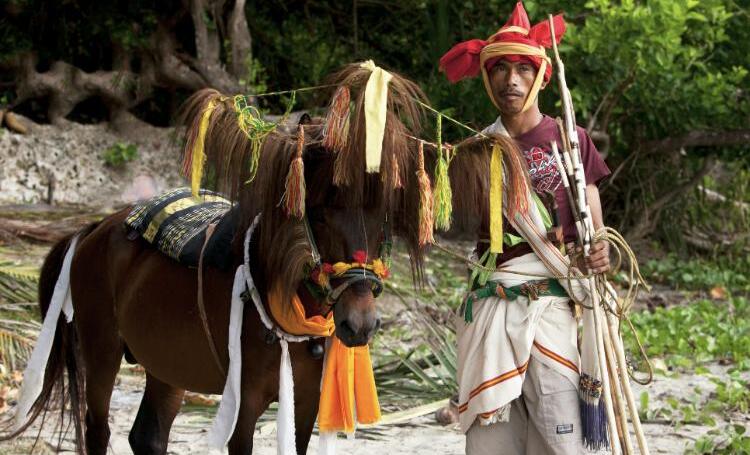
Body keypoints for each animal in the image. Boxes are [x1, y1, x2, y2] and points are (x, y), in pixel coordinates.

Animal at [3, 63, 431, 454]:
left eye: (384, 220)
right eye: (320, 214)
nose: (360, 324)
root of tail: (93, 230)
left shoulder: (308, 403)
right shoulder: (245, 404)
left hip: (166, 362)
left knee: (147, 436)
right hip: (101, 351)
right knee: (98, 430)